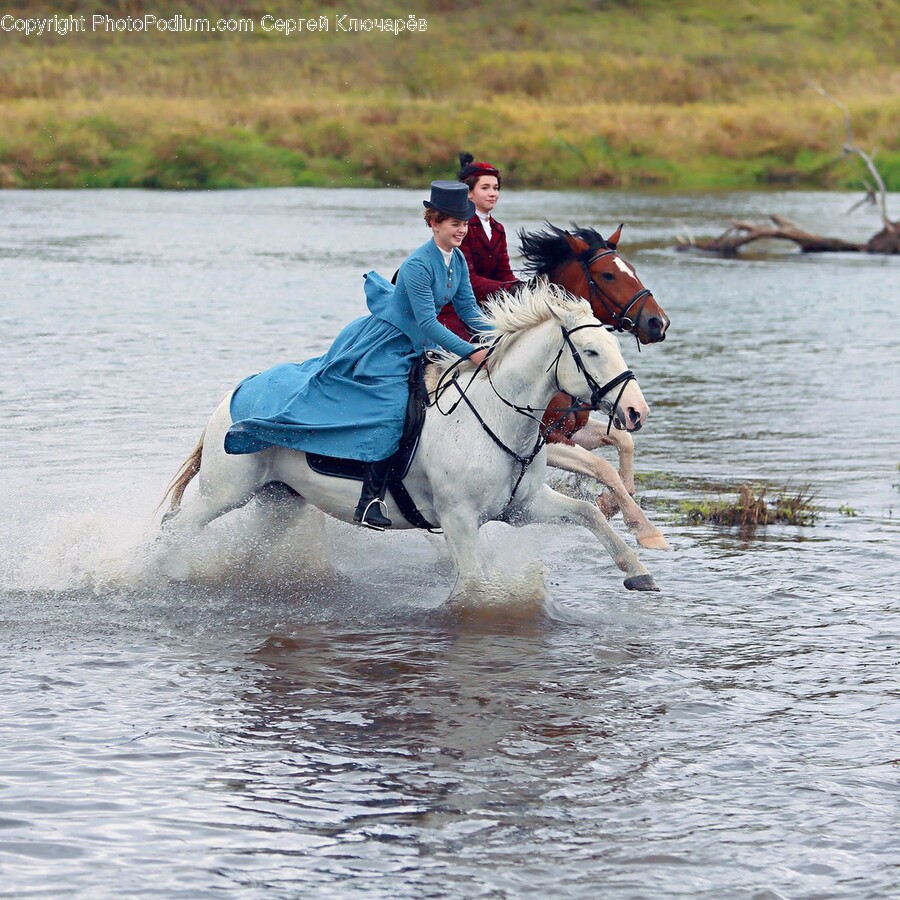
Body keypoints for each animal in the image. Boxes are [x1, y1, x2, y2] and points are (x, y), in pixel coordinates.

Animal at [160, 283, 661, 601]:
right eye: (591, 351)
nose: (636, 411)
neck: (495, 417)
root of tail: (231, 398)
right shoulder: (459, 520)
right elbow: (473, 586)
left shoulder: (522, 507)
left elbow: (588, 514)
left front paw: (638, 571)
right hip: (226, 492)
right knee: (176, 528)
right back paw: (155, 575)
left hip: (278, 501)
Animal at [519, 223, 670, 550]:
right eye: (608, 275)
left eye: (633, 269)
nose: (658, 323)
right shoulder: (546, 440)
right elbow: (603, 467)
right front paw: (644, 529)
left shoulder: (572, 431)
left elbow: (624, 442)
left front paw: (609, 504)